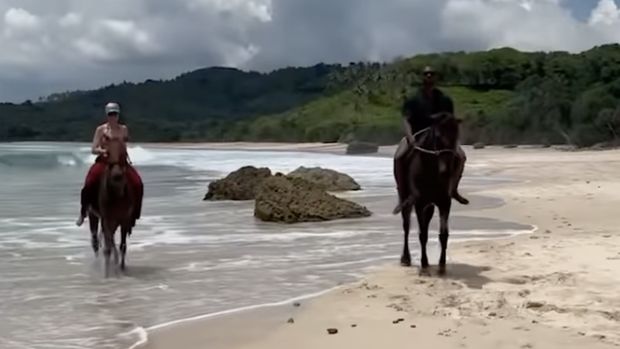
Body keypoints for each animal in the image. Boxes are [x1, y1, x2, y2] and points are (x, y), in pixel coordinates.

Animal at [87, 137, 134, 276]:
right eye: (107, 152)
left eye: (123, 153)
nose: (117, 176)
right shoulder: (106, 219)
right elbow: (107, 247)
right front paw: (107, 274)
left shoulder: (124, 219)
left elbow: (122, 245)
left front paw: (121, 268)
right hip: (94, 215)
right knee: (96, 241)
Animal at [394, 113, 462, 274]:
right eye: (438, 137)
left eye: (456, 136)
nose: (447, 172)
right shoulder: (420, 202)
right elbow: (423, 235)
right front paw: (424, 265)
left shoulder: (444, 202)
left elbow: (443, 234)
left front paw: (442, 265)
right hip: (405, 196)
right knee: (406, 224)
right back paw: (405, 258)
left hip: (430, 205)